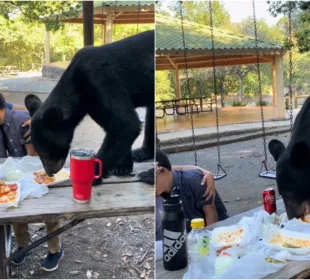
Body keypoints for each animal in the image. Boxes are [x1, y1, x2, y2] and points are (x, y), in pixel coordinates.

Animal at [24, 30, 155, 184]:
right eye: (39, 152)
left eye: (45, 151)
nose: (50, 172)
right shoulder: (93, 104)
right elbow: (116, 125)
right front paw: (122, 167)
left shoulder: (100, 79)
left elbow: (125, 123)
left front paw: (92, 175)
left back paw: (150, 174)